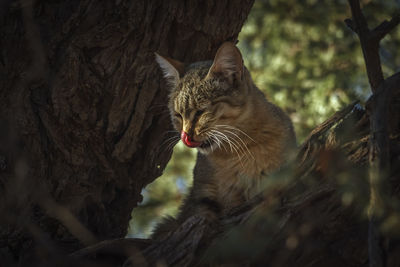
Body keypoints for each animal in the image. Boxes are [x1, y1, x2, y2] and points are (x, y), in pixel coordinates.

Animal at [152, 42, 296, 241]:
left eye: (201, 111)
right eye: (178, 115)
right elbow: (204, 212)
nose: (185, 135)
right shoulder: (203, 193)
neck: (240, 151)